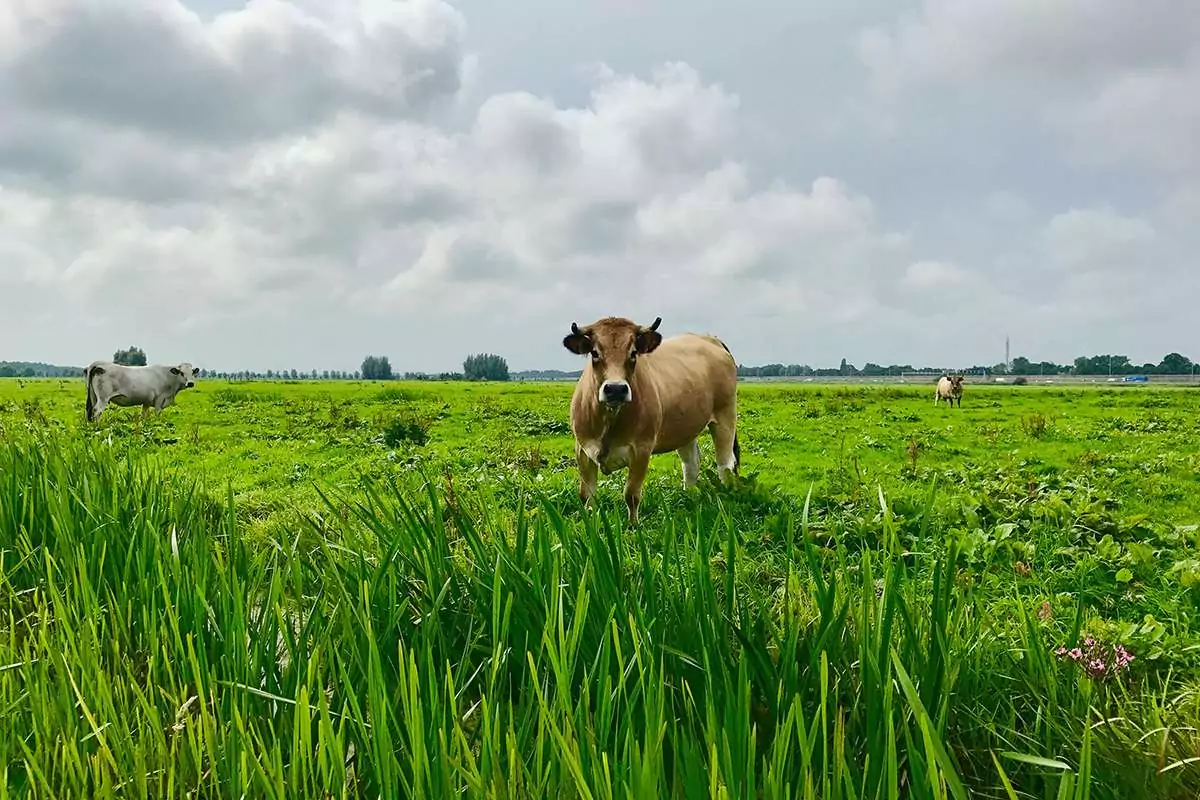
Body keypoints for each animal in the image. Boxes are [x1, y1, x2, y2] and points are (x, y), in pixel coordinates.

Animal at [561, 316, 739, 527]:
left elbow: (631, 494)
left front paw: (633, 527)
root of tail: (710, 338)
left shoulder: (642, 449)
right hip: (686, 428)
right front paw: (590, 524)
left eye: (633, 353)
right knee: (691, 465)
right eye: (595, 353)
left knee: (725, 464)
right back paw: (689, 498)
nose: (616, 389)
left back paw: (726, 497)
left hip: (725, 416)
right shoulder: (582, 450)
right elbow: (587, 495)